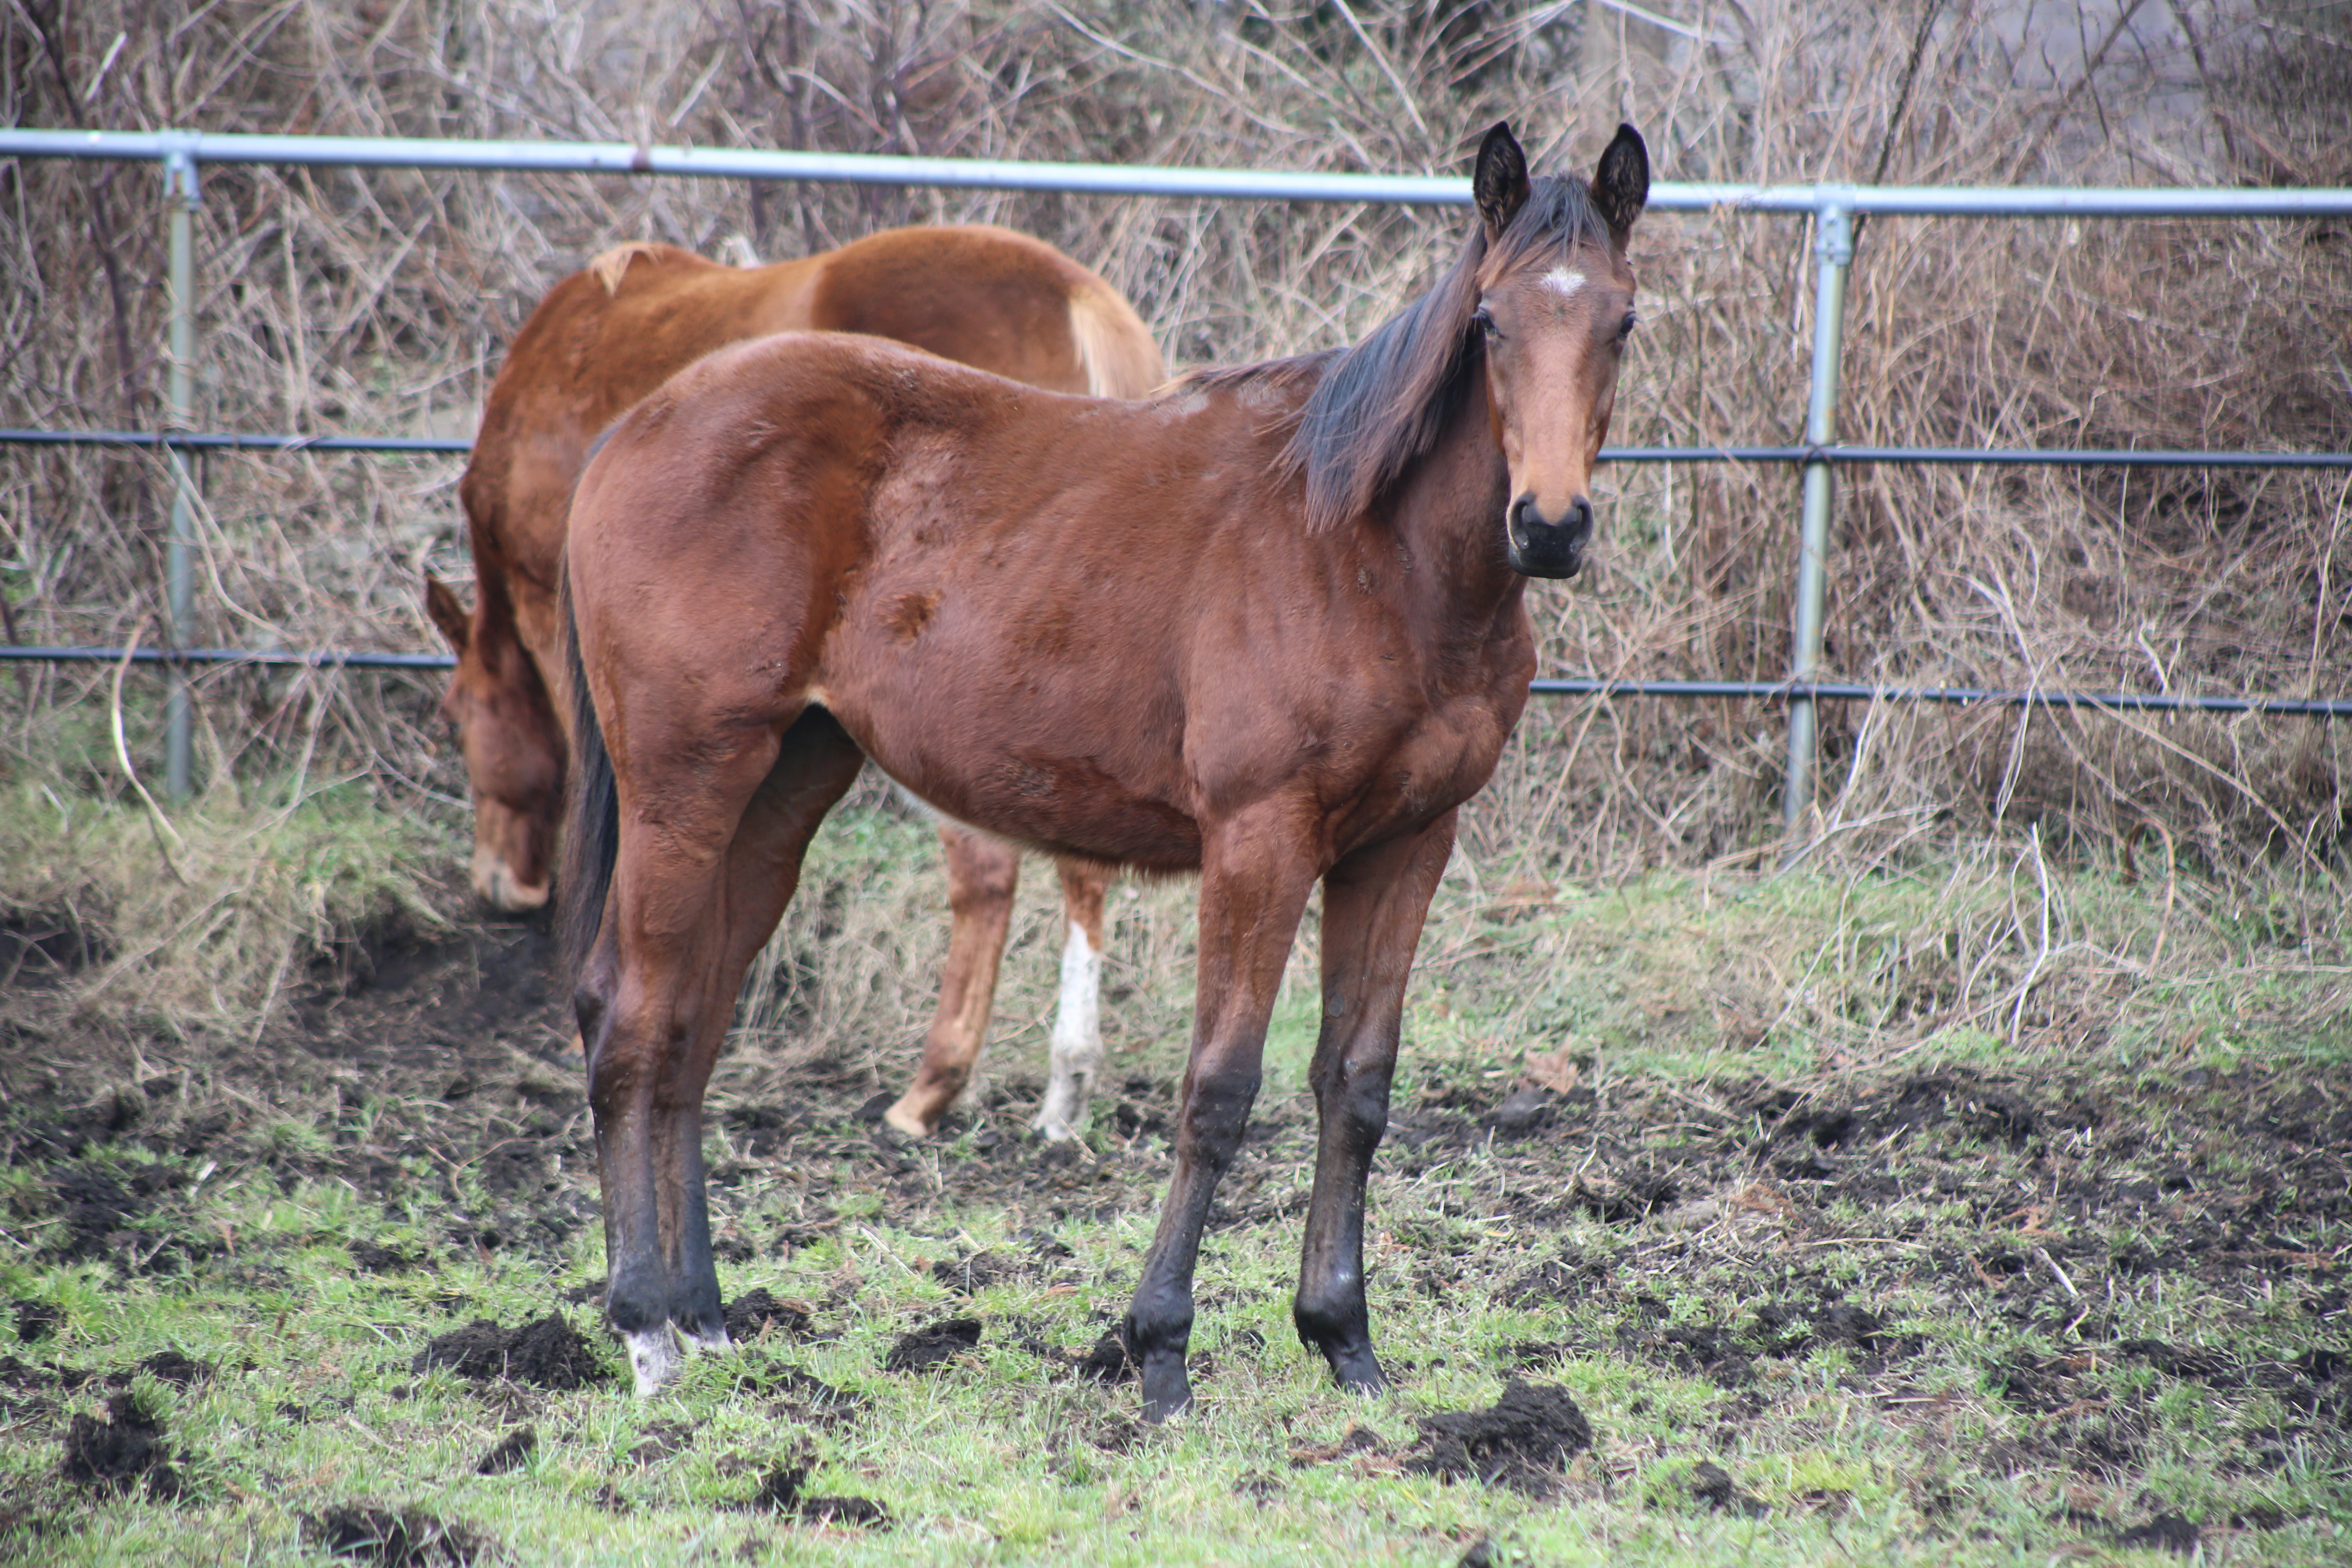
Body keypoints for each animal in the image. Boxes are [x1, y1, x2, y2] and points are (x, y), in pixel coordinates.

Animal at [425, 223, 1166, 1142]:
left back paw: (937, 1088)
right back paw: (1063, 1089)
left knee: (989, 872)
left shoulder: (548, 613)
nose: (497, 882)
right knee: (1079, 876)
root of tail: (1075, 300)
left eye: (456, 719)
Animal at [562, 129, 1656, 1410]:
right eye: (1488, 321)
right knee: (632, 1015)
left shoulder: (1404, 845)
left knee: (694, 1021)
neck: (1365, 553)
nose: (1549, 525)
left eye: (1622, 321)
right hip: (684, 786)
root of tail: (636, 427)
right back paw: (645, 1327)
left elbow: (1356, 1085)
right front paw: (1160, 1350)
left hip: (781, 789)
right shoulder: (1260, 838)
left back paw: (704, 1315)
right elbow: (1219, 1090)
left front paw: (1344, 1341)